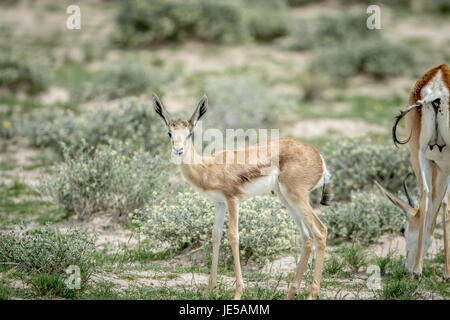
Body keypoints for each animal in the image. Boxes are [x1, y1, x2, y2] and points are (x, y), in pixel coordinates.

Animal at [153, 94, 332, 298]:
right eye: (170, 133)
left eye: (190, 133)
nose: (178, 150)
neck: (208, 168)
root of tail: (319, 157)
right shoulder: (219, 203)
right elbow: (215, 235)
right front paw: (208, 290)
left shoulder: (232, 199)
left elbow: (233, 236)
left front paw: (238, 292)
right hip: (286, 199)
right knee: (307, 238)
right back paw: (291, 293)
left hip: (297, 197)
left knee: (320, 231)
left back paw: (311, 294)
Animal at [376, 63, 450, 278]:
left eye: (403, 229)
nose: (405, 266)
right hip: (420, 151)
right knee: (432, 197)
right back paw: (428, 271)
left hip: (420, 152)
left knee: (427, 194)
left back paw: (419, 271)